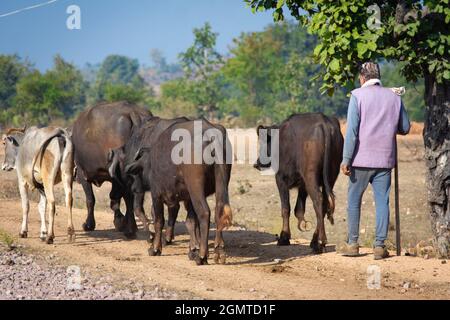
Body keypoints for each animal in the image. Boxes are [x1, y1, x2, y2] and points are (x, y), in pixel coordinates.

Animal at [255, 114, 342, 254]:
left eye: (263, 143)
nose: (257, 163)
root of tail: (324, 123)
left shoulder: (281, 179)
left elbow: (286, 208)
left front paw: (284, 237)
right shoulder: (302, 185)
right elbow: (299, 209)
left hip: (310, 176)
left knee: (318, 200)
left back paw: (321, 242)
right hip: (331, 177)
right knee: (324, 203)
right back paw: (314, 242)